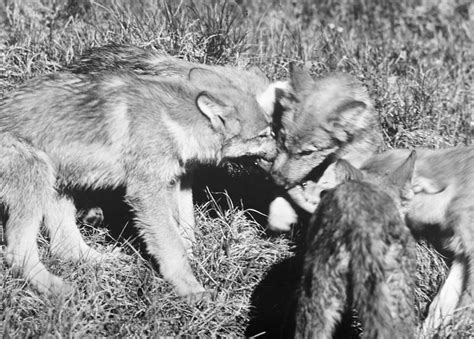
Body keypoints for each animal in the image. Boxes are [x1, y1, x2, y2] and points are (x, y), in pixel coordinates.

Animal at [0, 70, 276, 298]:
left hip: (59, 186)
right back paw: (55, 287)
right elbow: (172, 245)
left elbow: (185, 227)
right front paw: (191, 289)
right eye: (263, 134)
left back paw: (105, 261)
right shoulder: (146, 193)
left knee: (64, 247)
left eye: (270, 131)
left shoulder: (175, 181)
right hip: (37, 178)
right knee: (17, 254)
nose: (281, 149)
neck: (173, 123)